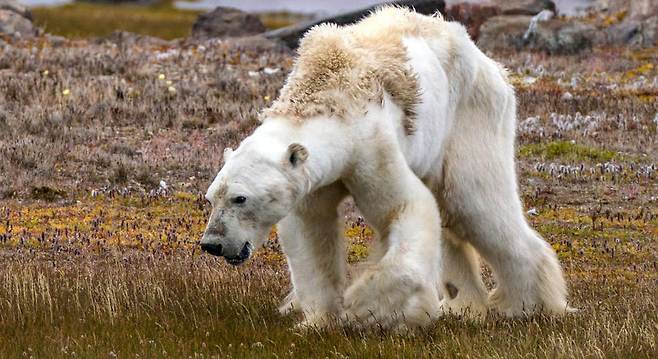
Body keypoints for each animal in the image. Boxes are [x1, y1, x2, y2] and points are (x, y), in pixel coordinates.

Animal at [199, 7, 568, 330]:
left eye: (240, 198)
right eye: (211, 197)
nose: (212, 244)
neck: (326, 95)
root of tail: (490, 64)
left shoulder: (370, 146)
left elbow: (405, 207)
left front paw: (365, 307)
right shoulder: (312, 180)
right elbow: (310, 232)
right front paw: (318, 320)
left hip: (470, 115)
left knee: (475, 203)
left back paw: (526, 305)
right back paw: (463, 305)